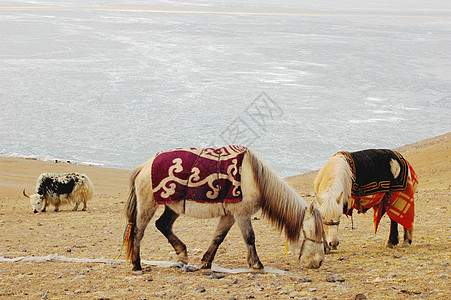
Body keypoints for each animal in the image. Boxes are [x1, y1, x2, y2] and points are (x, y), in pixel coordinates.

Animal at [123, 147, 328, 272]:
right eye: (313, 232)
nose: (319, 262)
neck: (254, 179)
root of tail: (143, 167)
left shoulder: (229, 215)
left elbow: (218, 237)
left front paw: (206, 261)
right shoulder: (241, 214)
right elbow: (250, 237)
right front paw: (256, 264)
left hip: (173, 206)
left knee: (163, 225)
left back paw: (182, 254)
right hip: (148, 205)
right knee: (139, 231)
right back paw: (137, 264)